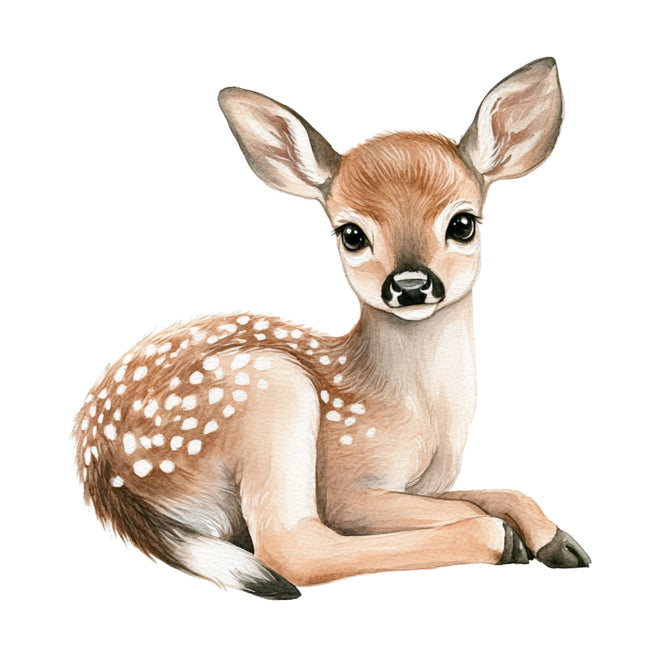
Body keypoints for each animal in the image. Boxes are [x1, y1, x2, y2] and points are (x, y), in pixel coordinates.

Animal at [74, 57, 590, 600]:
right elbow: (459, 506)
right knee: (290, 546)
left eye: (463, 223)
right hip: (270, 391)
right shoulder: (348, 486)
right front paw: (516, 537)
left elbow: (500, 491)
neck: (422, 415)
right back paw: (499, 541)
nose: (410, 285)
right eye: (352, 233)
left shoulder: (424, 485)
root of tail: (102, 473)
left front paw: (559, 541)